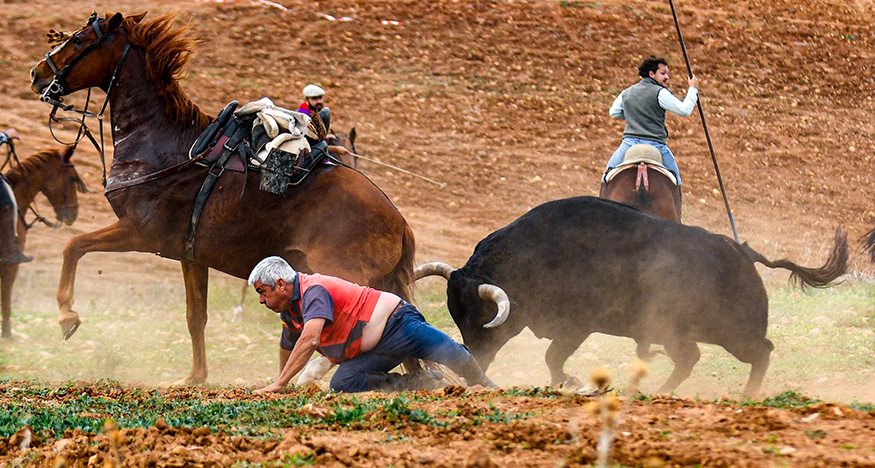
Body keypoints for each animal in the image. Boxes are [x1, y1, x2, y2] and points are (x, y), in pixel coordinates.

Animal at [30, 12, 416, 384]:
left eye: (79, 40)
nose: (37, 73)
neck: (165, 146)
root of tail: (399, 221)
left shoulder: (138, 232)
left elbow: (73, 247)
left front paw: (66, 315)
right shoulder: (189, 255)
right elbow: (195, 315)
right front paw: (195, 377)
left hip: (343, 275)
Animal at [415, 196, 848, 395]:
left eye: (481, 318)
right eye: (457, 315)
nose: (472, 363)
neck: (531, 255)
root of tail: (743, 252)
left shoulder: (576, 327)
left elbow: (553, 357)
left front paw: (572, 380)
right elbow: (553, 360)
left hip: (732, 333)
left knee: (761, 352)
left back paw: (745, 394)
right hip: (682, 333)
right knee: (692, 359)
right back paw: (658, 391)